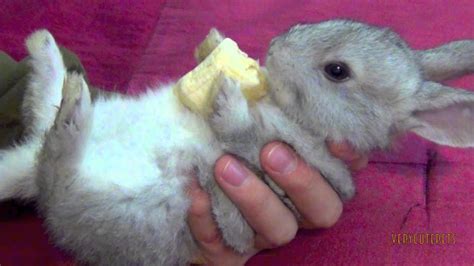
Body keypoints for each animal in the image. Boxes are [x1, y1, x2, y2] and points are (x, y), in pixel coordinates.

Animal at [0, 19, 474, 264]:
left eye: (337, 71)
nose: (276, 44)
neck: (283, 109)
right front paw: (213, 46)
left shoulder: (276, 156)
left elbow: (241, 133)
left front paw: (226, 96)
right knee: (42, 117)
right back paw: (46, 50)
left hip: (98, 199)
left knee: (57, 161)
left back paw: (71, 102)